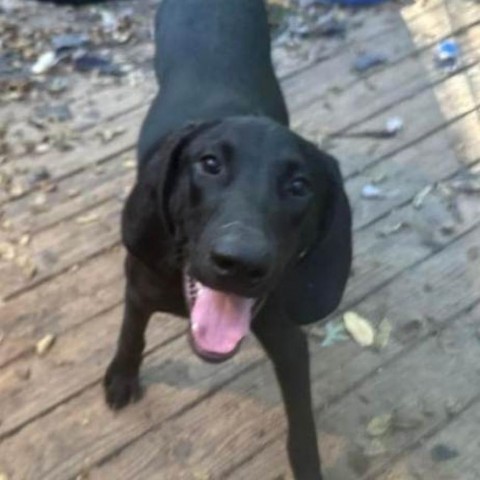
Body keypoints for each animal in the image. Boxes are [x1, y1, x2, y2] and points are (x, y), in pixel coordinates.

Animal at [105, 1, 350, 478]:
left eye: (299, 186)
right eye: (210, 164)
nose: (240, 263)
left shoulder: (287, 337)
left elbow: (302, 425)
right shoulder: (139, 285)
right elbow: (130, 331)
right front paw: (122, 375)